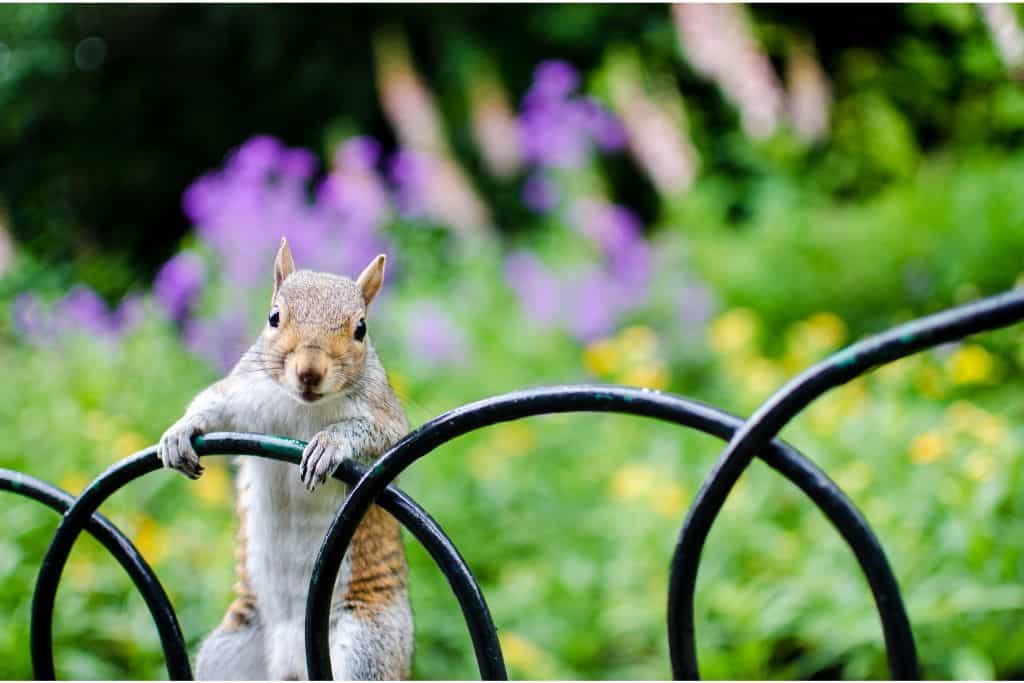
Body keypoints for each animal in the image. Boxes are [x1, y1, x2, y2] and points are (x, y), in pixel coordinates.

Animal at [157, 239, 413, 679]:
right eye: (273, 317)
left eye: (361, 329)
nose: (310, 371)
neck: (303, 407)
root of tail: (293, 660)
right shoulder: (241, 395)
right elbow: (211, 405)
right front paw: (179, 432)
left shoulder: (387, 418)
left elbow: (378, 437)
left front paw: (329, 445)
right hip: (228, 651)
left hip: (367, 648)